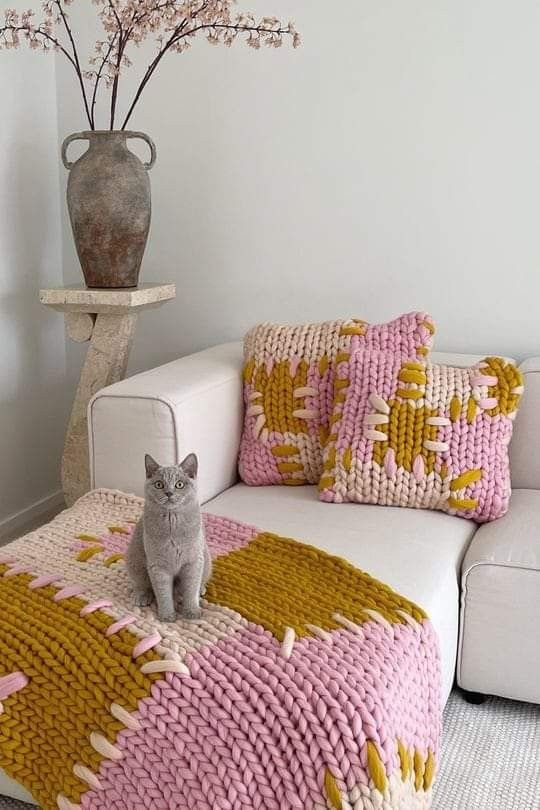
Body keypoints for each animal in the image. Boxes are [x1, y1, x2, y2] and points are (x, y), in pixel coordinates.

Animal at [126, 454, 211, 620]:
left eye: (179, 484)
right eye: (159, 484)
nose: (169, 493)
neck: (172, 521)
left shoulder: (193, 562)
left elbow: (191, 589)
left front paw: (192, 612)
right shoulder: (158, 566)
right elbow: (163, 593)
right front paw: (167, 616)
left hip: (206, 559)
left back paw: (200, 590)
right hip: (134, 559)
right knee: (141, 583)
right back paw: (142, 596)